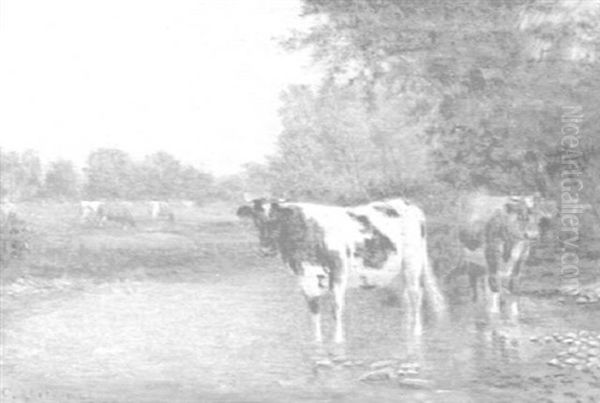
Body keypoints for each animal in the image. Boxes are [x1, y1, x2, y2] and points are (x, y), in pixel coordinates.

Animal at [236, 198, 446, 344]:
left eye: (277, 220)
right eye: (255, 220)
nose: (266, 249)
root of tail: (407, 203)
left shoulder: (338, 272)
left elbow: (336, 308)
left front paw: (338, 341)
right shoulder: (305, 278)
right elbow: (314, 309)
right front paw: (317, 341)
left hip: (413, 262)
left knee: (416, 296)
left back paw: (416, 332)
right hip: (397, 271)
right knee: (406, 299)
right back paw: (406, 330)